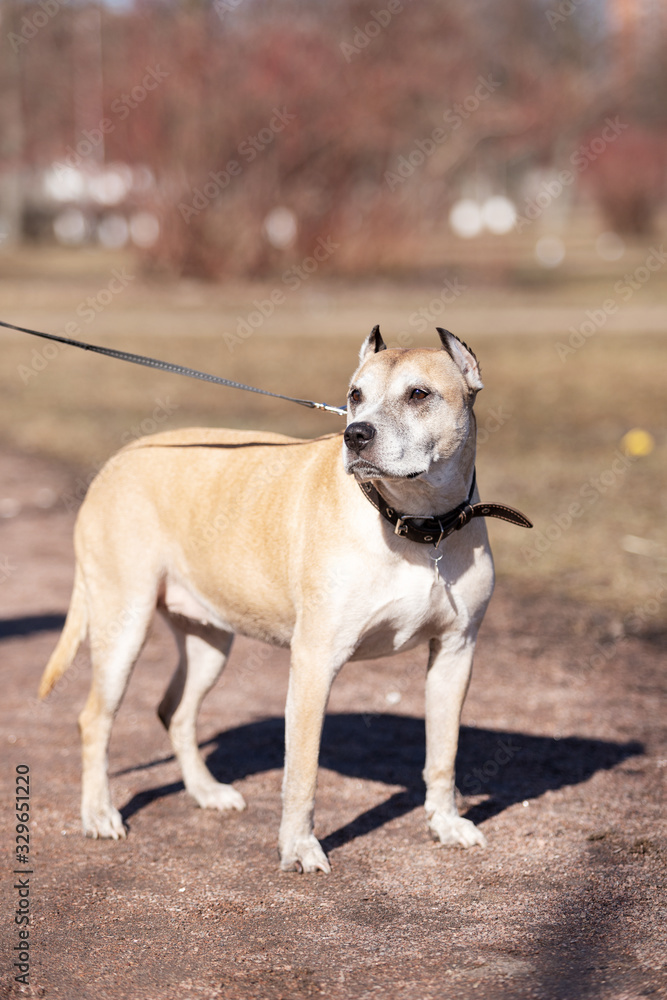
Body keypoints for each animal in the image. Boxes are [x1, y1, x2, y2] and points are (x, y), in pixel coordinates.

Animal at [40, 330, 532, 876]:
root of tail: (119, 458)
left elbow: (443, 753)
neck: (418, 525)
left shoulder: (454, 652)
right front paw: (298, 847)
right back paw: (99, 813)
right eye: (355, 394)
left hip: (209, 639)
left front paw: (445, 823)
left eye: (419, 394)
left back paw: (205, 792)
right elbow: (302, 772)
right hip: (123, 624)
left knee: (176, 711)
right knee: (95, 719)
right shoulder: (315, 662)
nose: (355, 435)